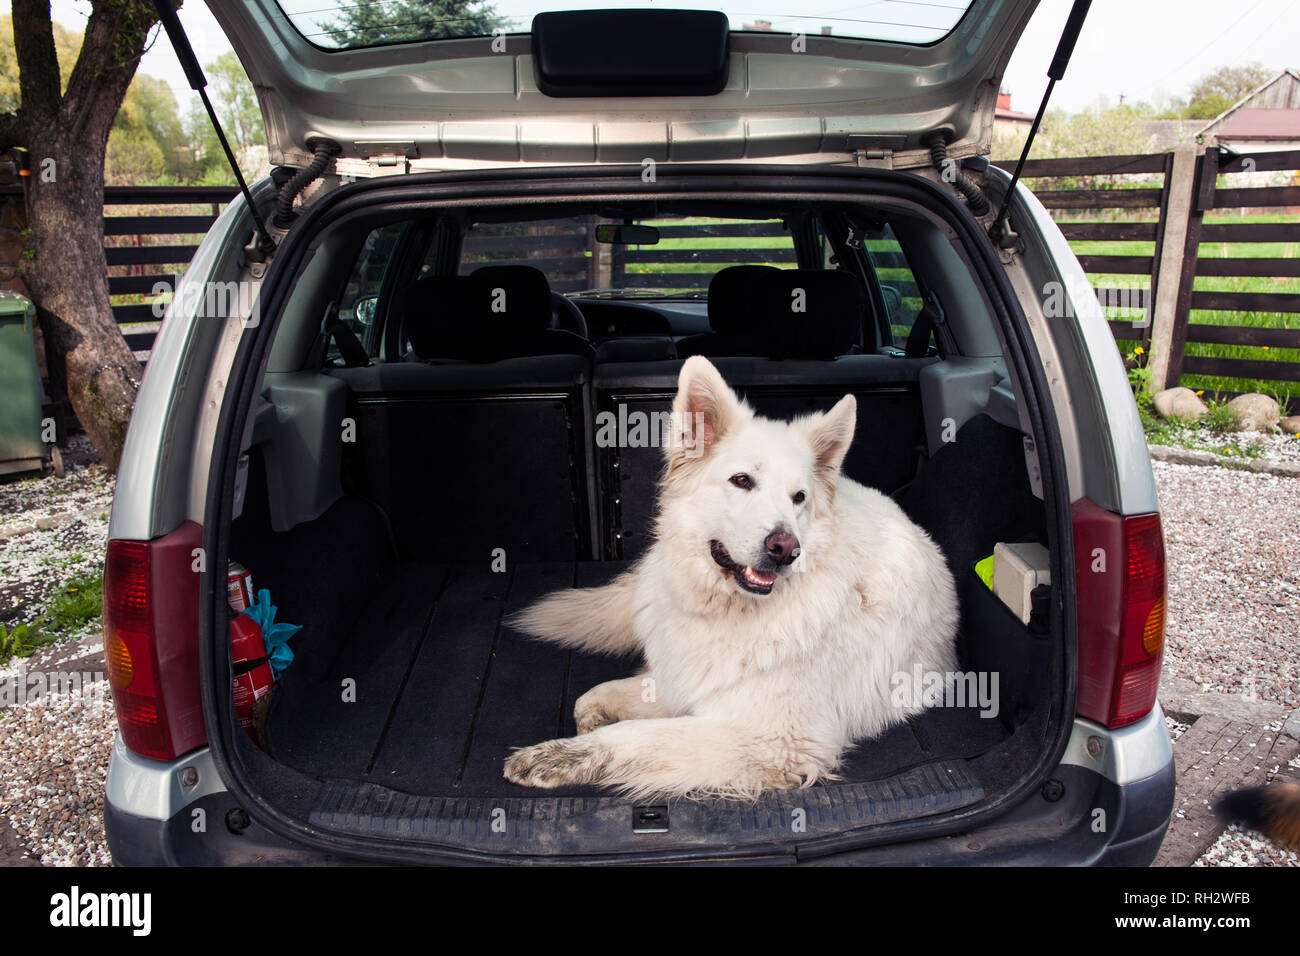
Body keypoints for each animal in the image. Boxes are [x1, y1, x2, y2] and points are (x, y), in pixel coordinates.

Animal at [501, 356, 961, 801]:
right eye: (742, 480)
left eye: (799, 498)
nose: (786, 549)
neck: (724, 611)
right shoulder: (683, 679)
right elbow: (597, 695)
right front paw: (588, 722)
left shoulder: (769, 738)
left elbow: (636, 735)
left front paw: (559, 755)